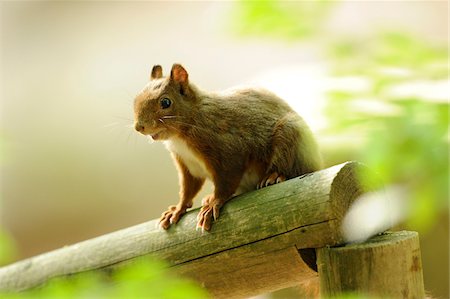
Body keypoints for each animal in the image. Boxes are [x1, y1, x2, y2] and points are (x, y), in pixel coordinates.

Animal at [132, 63, 322, 232]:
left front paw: (214, 204)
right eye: (135, 100)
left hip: (290, 136)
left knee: (294, 168)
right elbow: (188, 188)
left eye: (165, 102)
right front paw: (178, 208)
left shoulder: (228, 150)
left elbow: (226, 181)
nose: (139, 127)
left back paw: (275, 175)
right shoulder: (187, 164)